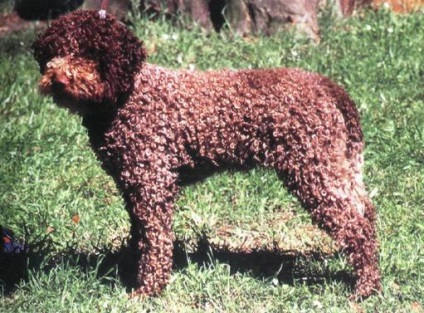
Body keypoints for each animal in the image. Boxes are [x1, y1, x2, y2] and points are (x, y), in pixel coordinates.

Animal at [33, 9, 380, 298]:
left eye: (88, 52)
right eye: (54, 51)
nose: (57, 79)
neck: (128, 95)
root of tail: (326, 85)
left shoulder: (152, 183)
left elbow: (156, 241)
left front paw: (148, 289)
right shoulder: (133, 185)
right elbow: (140, 236)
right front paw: (131, 270)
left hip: (313, 170)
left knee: (357, 226)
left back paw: (366, 287)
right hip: (335, 166)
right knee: (367, 211)